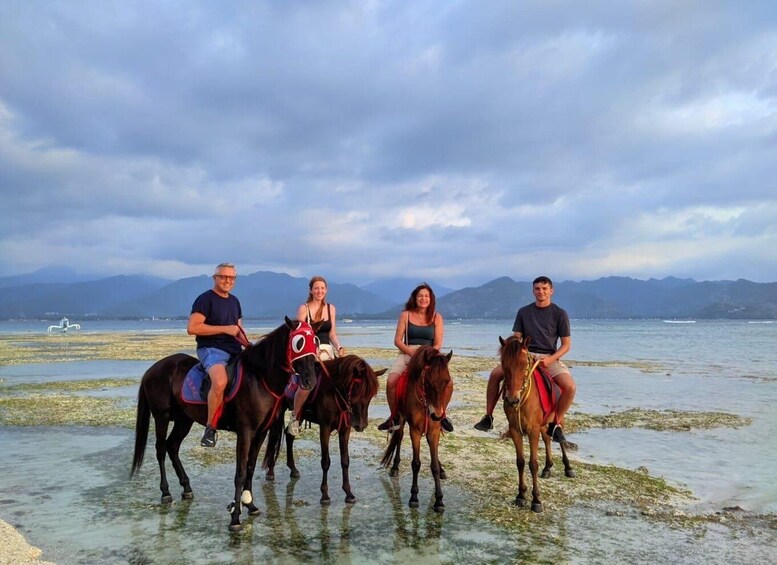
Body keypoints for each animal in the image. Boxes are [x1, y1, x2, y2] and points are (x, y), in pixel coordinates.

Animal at [130, 318, 318, 528]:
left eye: (315, 341)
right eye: (299, 343)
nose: (310, 380)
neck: (260, 379)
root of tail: (152, 370)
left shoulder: (261, 432)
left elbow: (250, 467)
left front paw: (250, 505)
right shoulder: (245, 432)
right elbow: (240, 473)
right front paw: (235, 517)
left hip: (184, 420)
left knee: (172, 446)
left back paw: (186, 487)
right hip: (162, 417)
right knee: (161, 449)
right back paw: (165, 492)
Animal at [264, 354, 384, 504]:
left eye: (371, 395)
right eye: (356, 390)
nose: (361, 425)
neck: (335, 393)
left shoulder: (345, 429)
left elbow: (345, 460)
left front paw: (348, 493)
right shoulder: (325, 428)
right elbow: (325, 461)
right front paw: (325, 495)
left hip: (299, 415)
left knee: (289, 435)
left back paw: (293, 469)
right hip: (278, 412)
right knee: (275, 438)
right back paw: (270, 471)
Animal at [380, 344, 452, 512]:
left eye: (447, 381)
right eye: (428, 382)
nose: (437, 415)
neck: (426, 403)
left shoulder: (433, 431)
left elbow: (434, 466)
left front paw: (439, 500)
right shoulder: (415, 431)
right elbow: (416, 464)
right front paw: (413, 496)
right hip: (400, 419)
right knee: (399, 437)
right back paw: (395, 467)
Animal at [500, 334, 572, 512]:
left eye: (524, 364)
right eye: (503, 362)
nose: (512, 399)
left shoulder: (532, 431)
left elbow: (532, 464)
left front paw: (536, 500)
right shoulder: (515, 430)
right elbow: (520, 462)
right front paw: (521, 495)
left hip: (557, 419)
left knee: (560, 439)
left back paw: (568, 468)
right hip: (543, 424)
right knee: (547, 439)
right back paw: (548, 467)